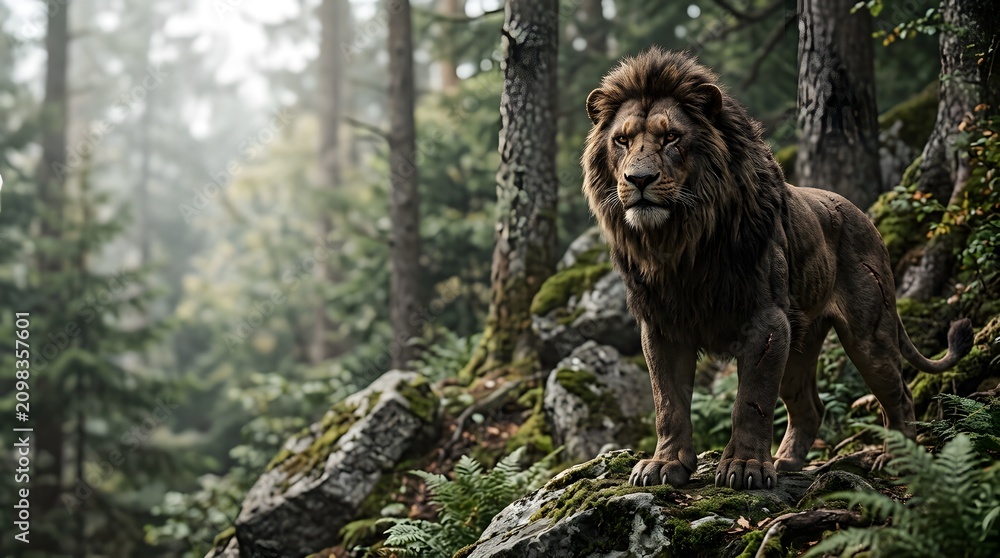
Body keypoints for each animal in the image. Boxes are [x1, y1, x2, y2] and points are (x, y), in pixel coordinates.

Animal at [582, 47, 974, 490]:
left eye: (671, 137)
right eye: (622, 140)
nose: (639, 179)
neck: (682, 243)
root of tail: (868, 218)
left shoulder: (767, 323)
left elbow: (750, 402)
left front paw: (745, 467)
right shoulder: (663, 326)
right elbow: (668, 402)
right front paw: (665, 464)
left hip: (868, 335)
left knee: (899, 394)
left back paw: (896, 462)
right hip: (801, 344)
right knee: (811, 407)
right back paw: (787, 462)